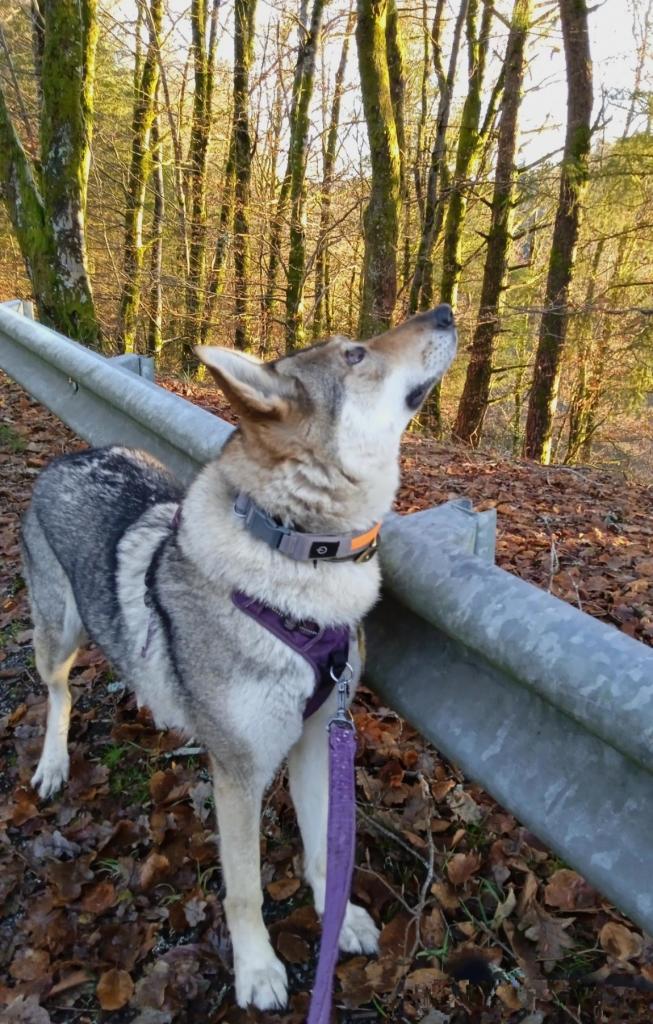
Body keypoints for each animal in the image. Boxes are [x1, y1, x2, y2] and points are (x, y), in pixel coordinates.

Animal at [21, 303, 460, 1007]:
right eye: (356, 355)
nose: (445, 311)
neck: (300, 563)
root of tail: (75, 454)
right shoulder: (238, 776)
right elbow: (246, 891)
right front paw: (257, 970)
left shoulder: (318, 739)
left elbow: (324, 849)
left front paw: (340, 920)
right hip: (58, 638)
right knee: (58, 695)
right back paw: (54, 765)